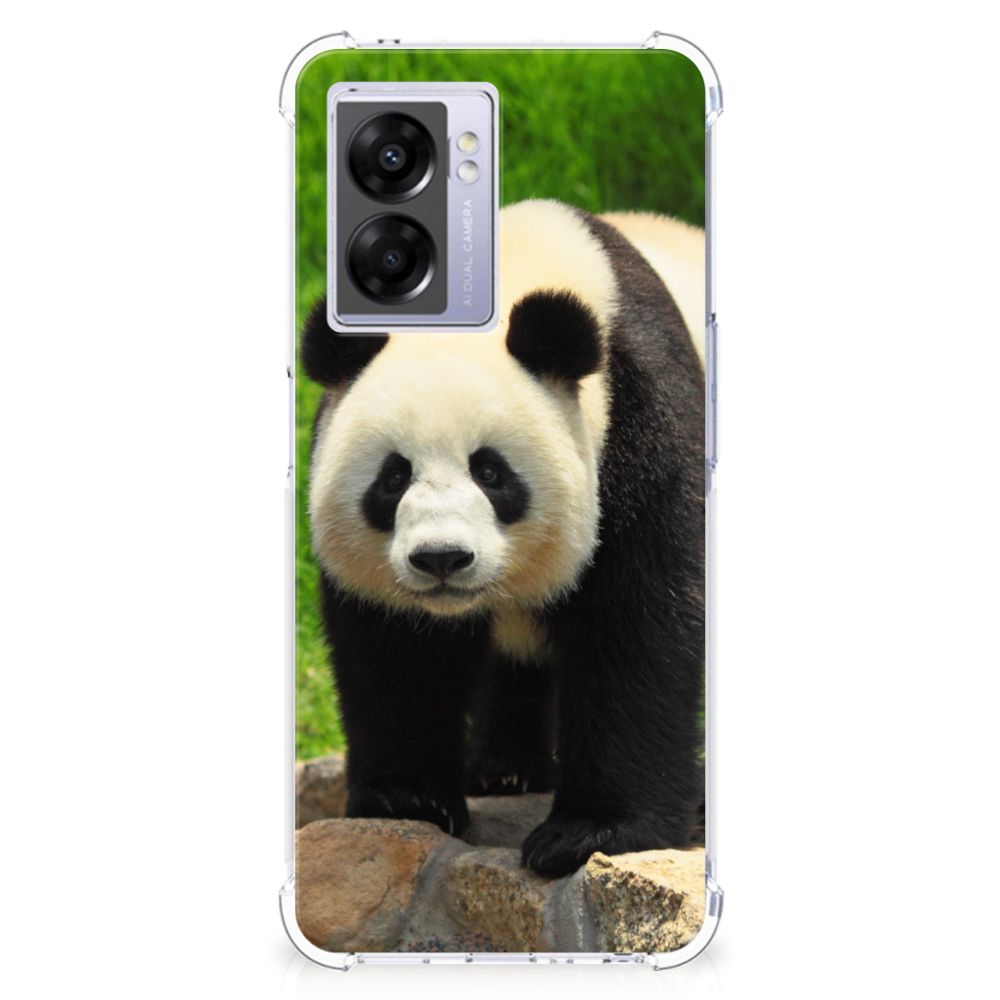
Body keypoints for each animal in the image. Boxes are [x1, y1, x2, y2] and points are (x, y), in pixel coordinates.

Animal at [302, 199, 705, 877]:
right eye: (393, 476)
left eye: (490, 472)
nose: (441, 558)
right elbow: (395, 650)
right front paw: (408, 800)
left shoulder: (643, 422)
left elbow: (640, 625)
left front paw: (589, 833)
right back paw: (504, 770)